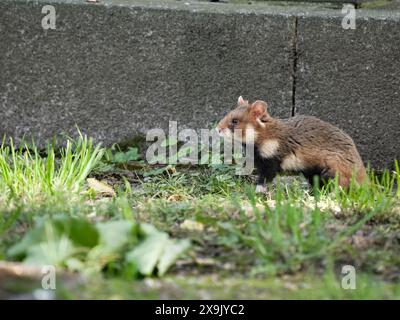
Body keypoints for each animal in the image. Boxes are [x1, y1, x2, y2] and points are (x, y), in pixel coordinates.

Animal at [217, 96, 368, 191]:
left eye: (235, 121)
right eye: (227, 114)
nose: (217, 129)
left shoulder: (270, 163)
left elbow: (264, 179)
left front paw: (257, 191)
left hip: (331, 171)